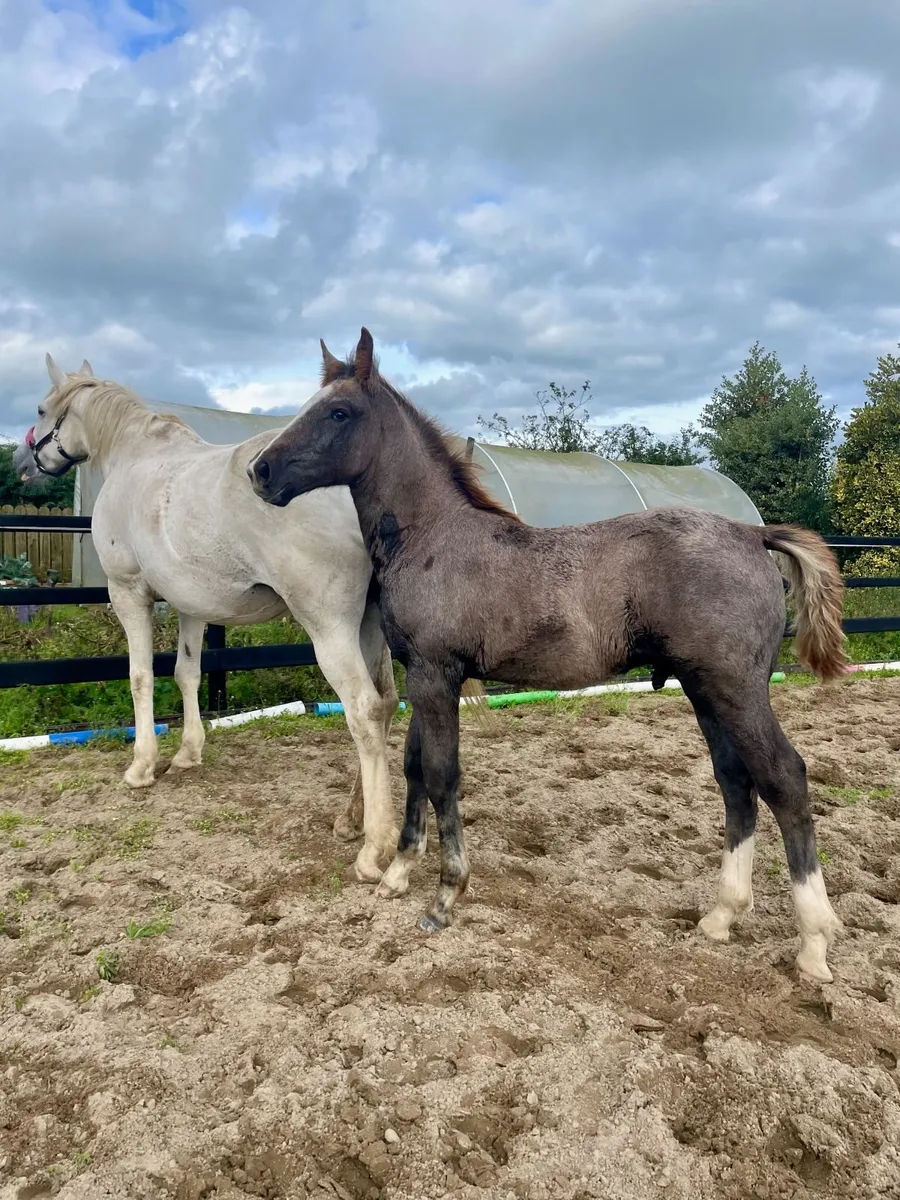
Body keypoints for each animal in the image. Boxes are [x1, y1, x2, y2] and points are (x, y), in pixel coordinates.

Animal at [16, 353, 487, 885]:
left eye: (40, 409)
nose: (24, 462)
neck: (134, 457)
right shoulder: (190, 605)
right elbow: (187, 672)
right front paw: (188, 753)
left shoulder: (128, 592)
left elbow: (140, 677)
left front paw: (142, 767)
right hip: (368, 627)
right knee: (386, 704)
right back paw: (352, 820)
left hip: (329, 628)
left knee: (364, 710)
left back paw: (374, 849)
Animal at [248, 326, 849, 984]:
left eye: (338, 412)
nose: (259, 471)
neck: (434, 536)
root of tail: (753, 534)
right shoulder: (423, 677)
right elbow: (414, 768)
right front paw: (399, 872)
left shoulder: (436, 673)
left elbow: (441, 774)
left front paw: (444, 895)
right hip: (705, 689)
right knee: (736, 782)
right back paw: (721, 916)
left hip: (736, 688)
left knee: (783, 778)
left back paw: (814, 943)